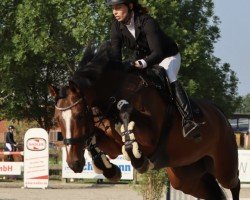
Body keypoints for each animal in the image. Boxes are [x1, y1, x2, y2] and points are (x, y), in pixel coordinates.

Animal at [48, 42, 240, 198]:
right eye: (57, 120)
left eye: (80, 116)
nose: (74, 163)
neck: (113, 94)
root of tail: (222, 115)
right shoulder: (111, 144)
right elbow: (95, 140)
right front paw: (109, 169)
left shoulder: (151, 137)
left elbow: (126, 116)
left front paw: (137, 159)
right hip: (186, 177)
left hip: (224, 165)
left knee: (234, 183)